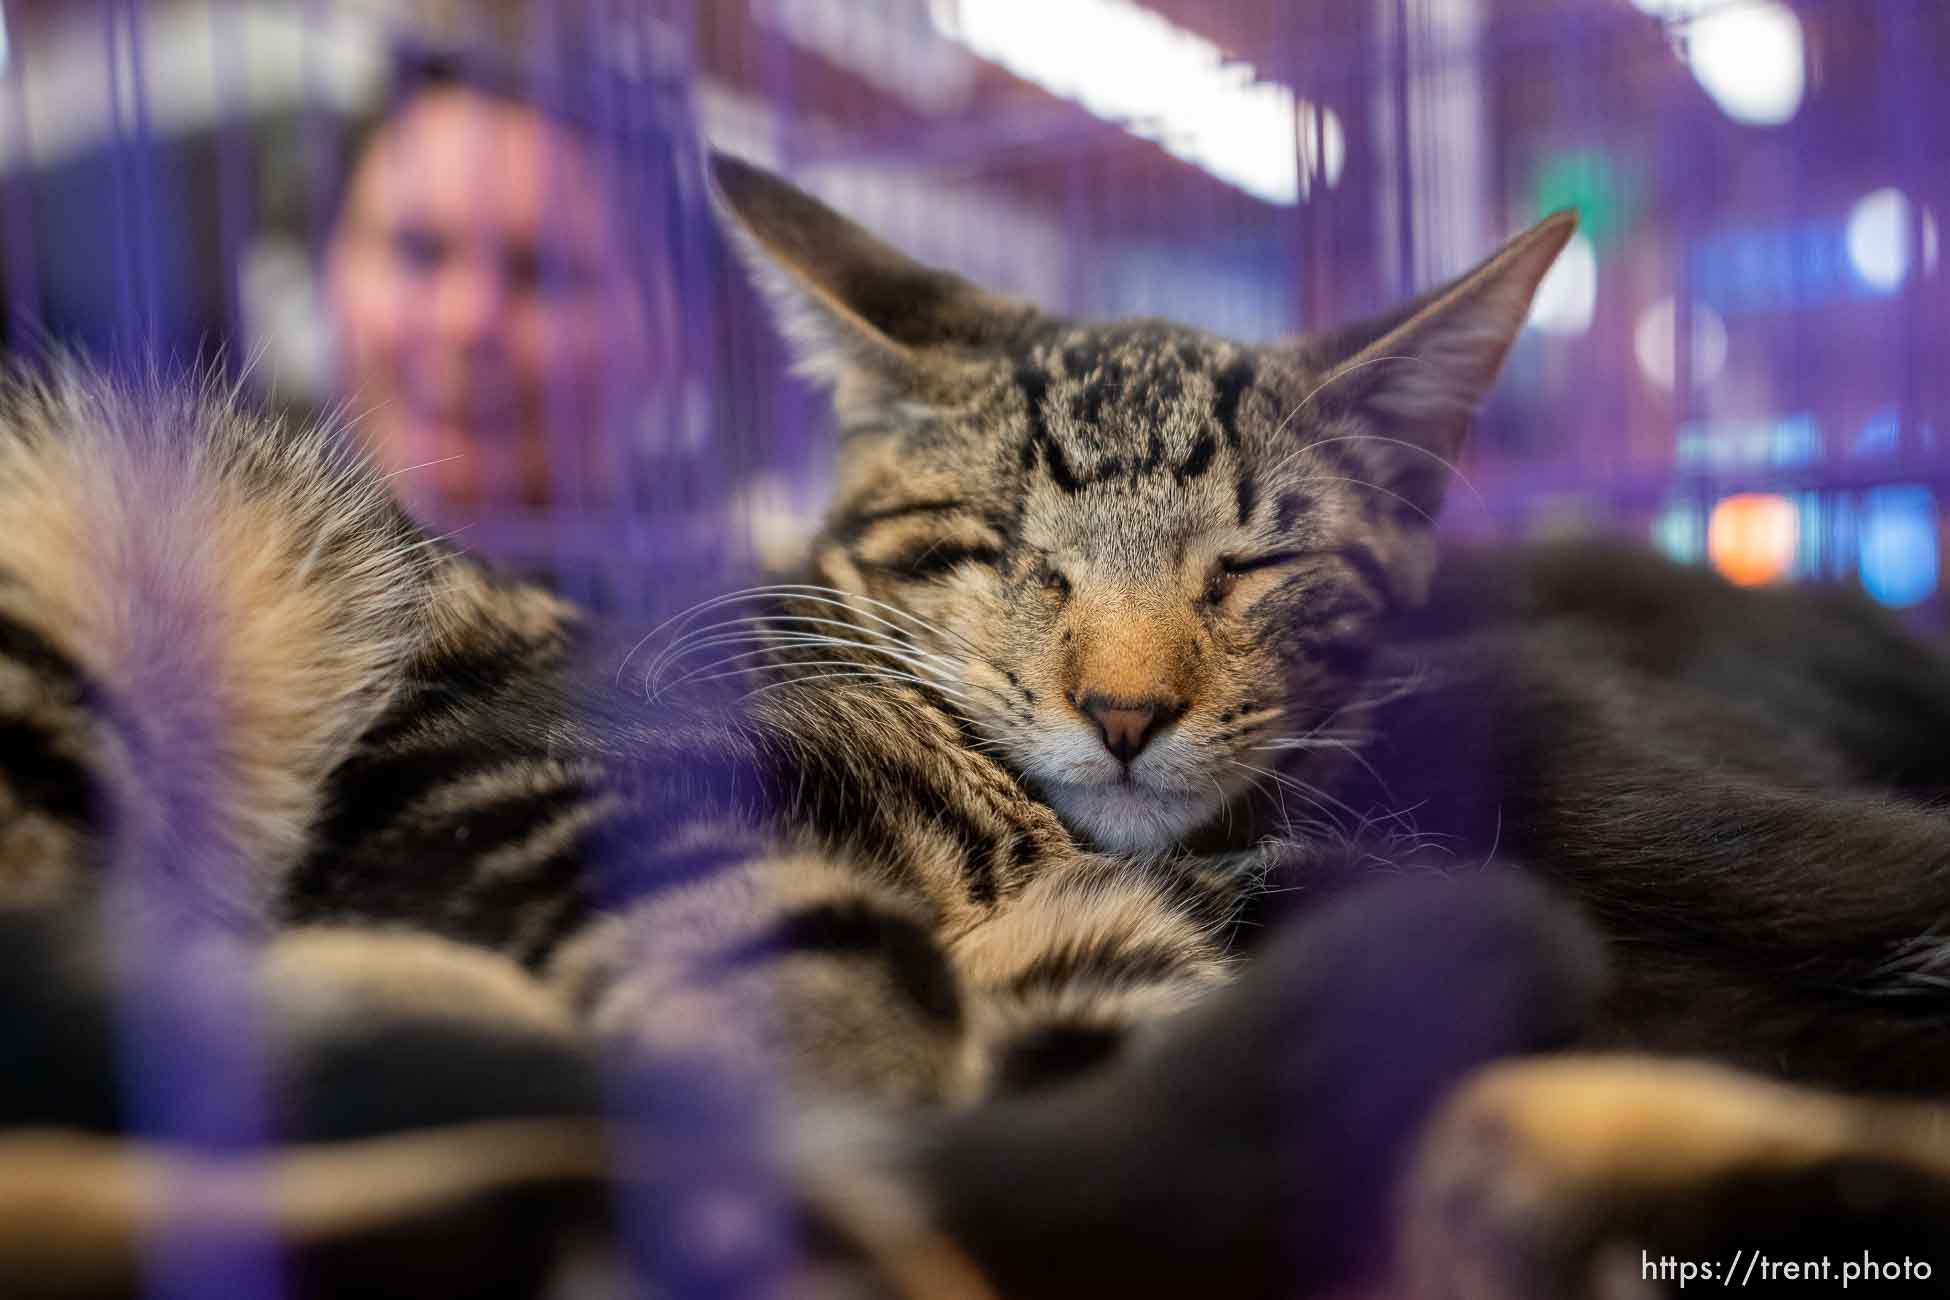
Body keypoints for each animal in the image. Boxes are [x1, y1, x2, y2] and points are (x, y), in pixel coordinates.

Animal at [11, 157, 1950, 1294]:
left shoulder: (1113, 973)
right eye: (1013, 549)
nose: (1125, 709)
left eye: (1252, 565)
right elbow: (838, 1067)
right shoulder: (515, 776)